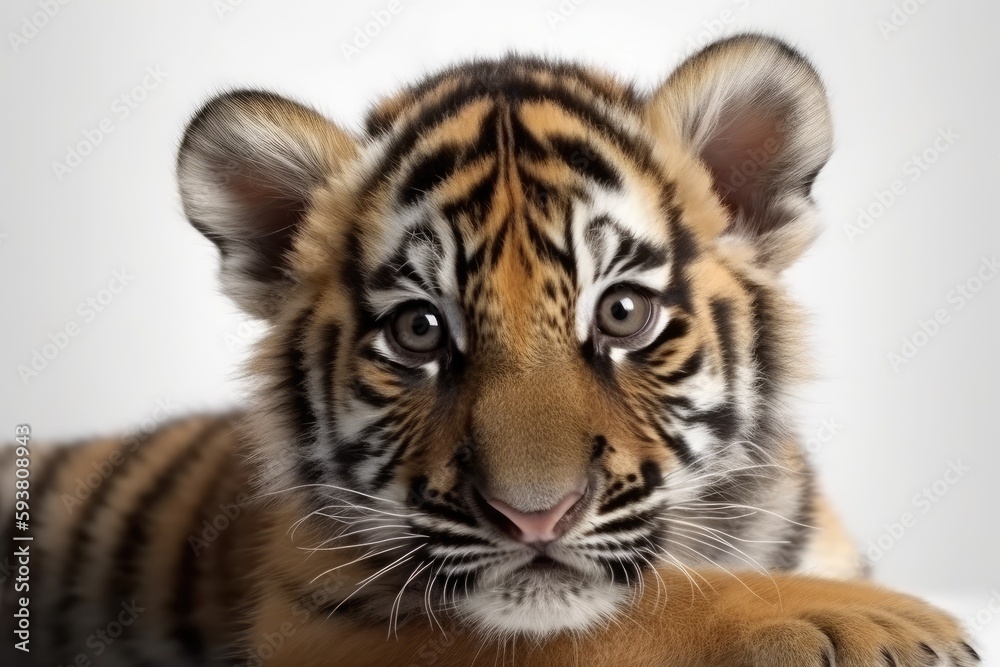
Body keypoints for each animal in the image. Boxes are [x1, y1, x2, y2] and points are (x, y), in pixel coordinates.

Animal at [1, 34, 980, 666]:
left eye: (623, 313)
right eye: (419, 330)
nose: (533, 519)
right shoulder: (319, 626)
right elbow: (629, 610)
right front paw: (872, 620)